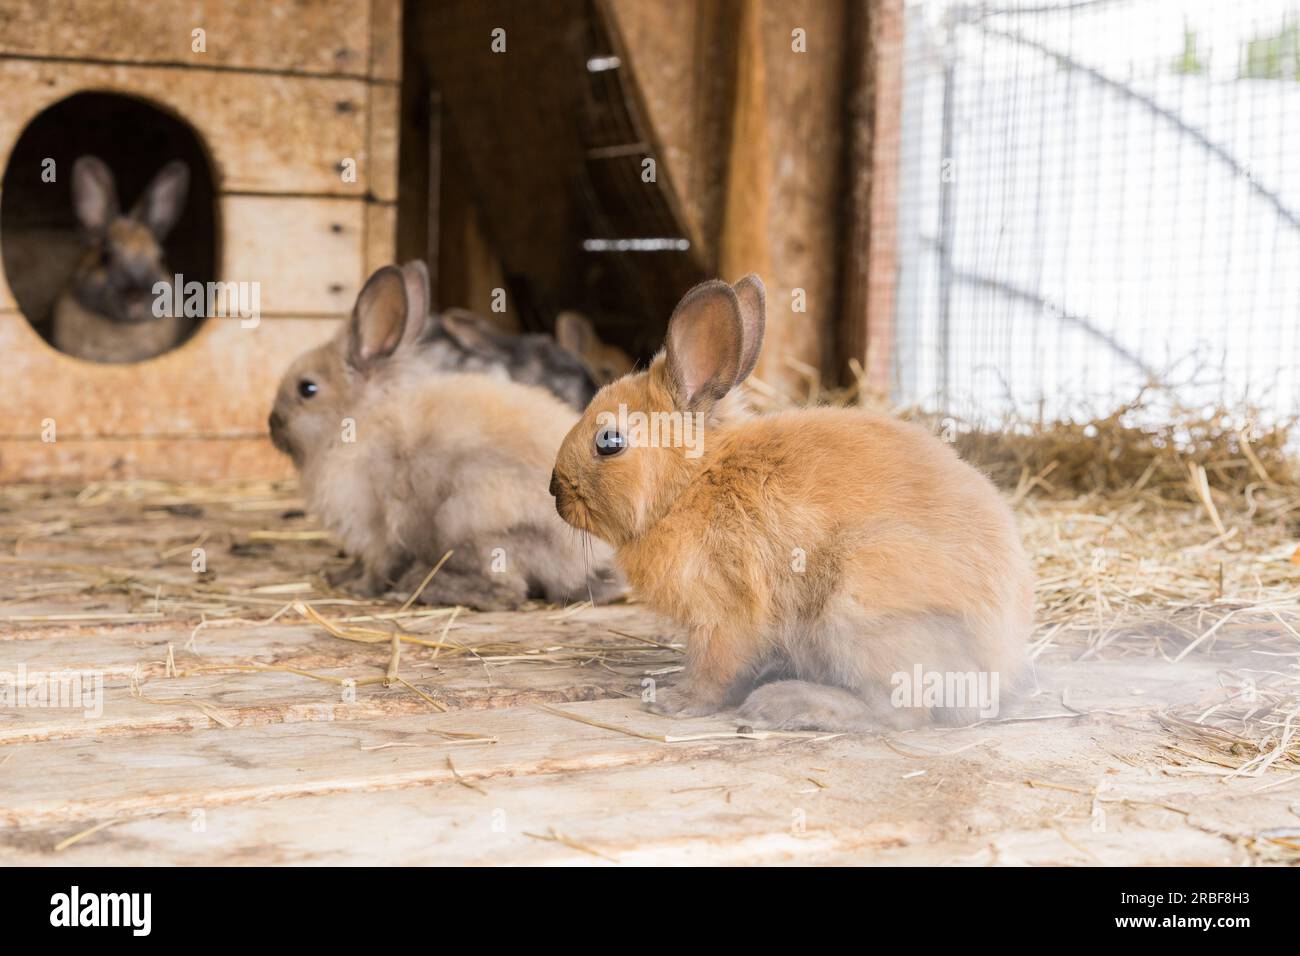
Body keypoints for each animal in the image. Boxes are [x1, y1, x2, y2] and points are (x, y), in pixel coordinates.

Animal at [549, 275, 1034, 732]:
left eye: (609, 442)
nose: (556, 491)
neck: (692, 482)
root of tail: (996, 665)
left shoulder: (724, 615)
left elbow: (713, 668)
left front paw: (676, 702)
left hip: (855, 605)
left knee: (899, 711)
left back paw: (784, 704)